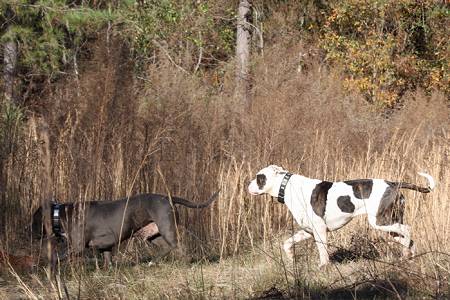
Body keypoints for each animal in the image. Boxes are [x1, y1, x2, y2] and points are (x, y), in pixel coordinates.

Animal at [248, 166, 434, 268]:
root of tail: (394, 183)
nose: (247, 185)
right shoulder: (307, 230)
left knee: (408, 230)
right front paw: (291, 258)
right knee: (407, 240)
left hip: (381, 221)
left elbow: (322, 251)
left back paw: (406, 254)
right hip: (390, 226)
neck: (287, 187)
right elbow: (287, 243)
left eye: (259, 178)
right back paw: (409, 256)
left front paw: (323, 266)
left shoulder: (320, 230)